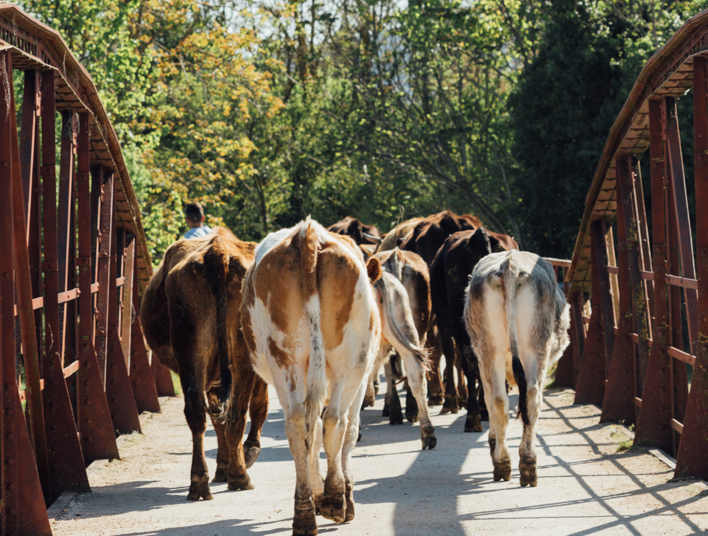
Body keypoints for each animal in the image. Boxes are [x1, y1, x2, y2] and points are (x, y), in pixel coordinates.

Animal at [141, 228, 268, 500]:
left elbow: (217, 417)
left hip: (192, 351)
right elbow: (256, 406)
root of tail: (217, 250)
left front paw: (223, 465)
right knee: (237, 412)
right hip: (240, 355)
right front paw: (244, 454)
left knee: (199, 411)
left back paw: (200, 482)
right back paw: (239, 476)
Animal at [241, 218, 382, 536]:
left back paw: (305, 513)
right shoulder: (362, 378)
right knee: (335, 422)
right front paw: (343, 495)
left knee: (298, 426)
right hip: (349, 362)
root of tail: (307, 234)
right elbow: (349, 432)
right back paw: (335, 500)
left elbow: (312, 435)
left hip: (284, 360)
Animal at [464, 249, 568, 488]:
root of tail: (510, 263)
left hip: (493, 348)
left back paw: (512, 463)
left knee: (503, 400)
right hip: (533, 347)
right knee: (526, 398)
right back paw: (518, 464)